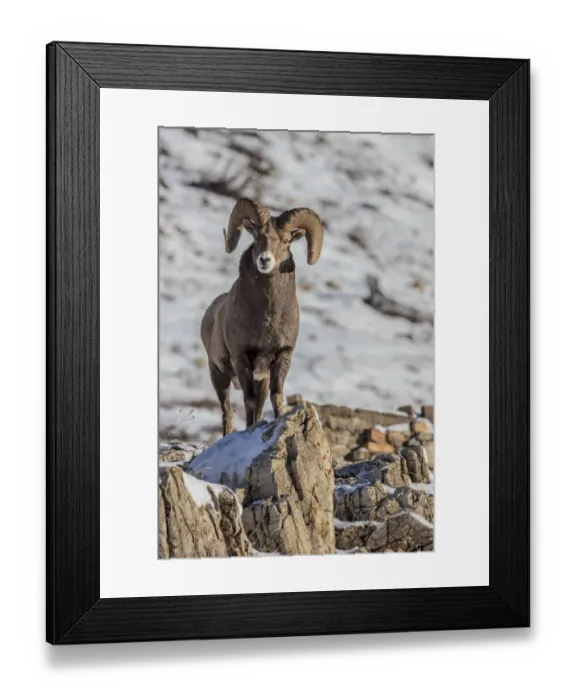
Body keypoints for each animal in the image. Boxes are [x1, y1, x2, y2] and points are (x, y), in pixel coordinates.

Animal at [201, 198, 324, 436]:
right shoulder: (241, 358)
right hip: (218, 375)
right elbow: (249, 400)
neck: (268, 318)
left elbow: (276, 398)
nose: (264, 260)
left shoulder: (281, 357)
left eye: (286, 241)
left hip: (260, 379)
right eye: (257, 237)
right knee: (227, 411)